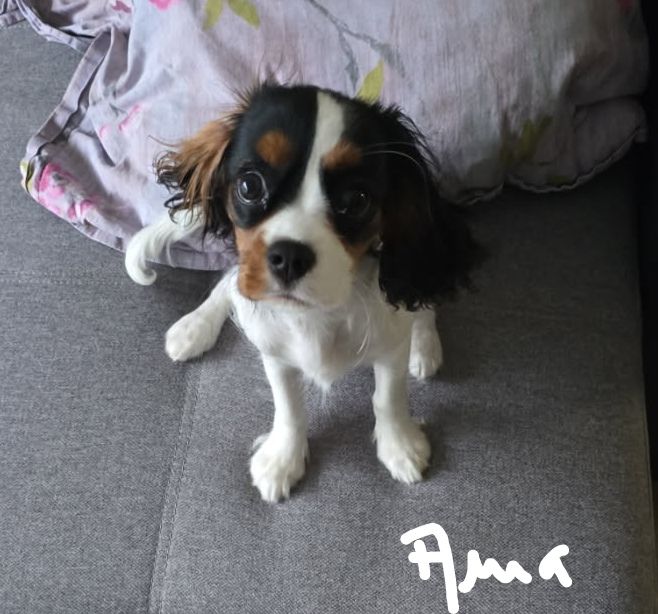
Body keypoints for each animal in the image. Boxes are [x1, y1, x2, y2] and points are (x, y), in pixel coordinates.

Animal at [125, 84, 481, 502]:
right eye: (249, 185)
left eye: (357, 200)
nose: (290, 257)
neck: (318, 312)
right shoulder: (275, 350)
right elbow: (289, 405)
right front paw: (282, 459)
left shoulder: (390, 342)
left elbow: (389, 396)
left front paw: (401, 447)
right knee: (229, 283)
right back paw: (194, 327)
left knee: (422, 305)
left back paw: (424, 347)